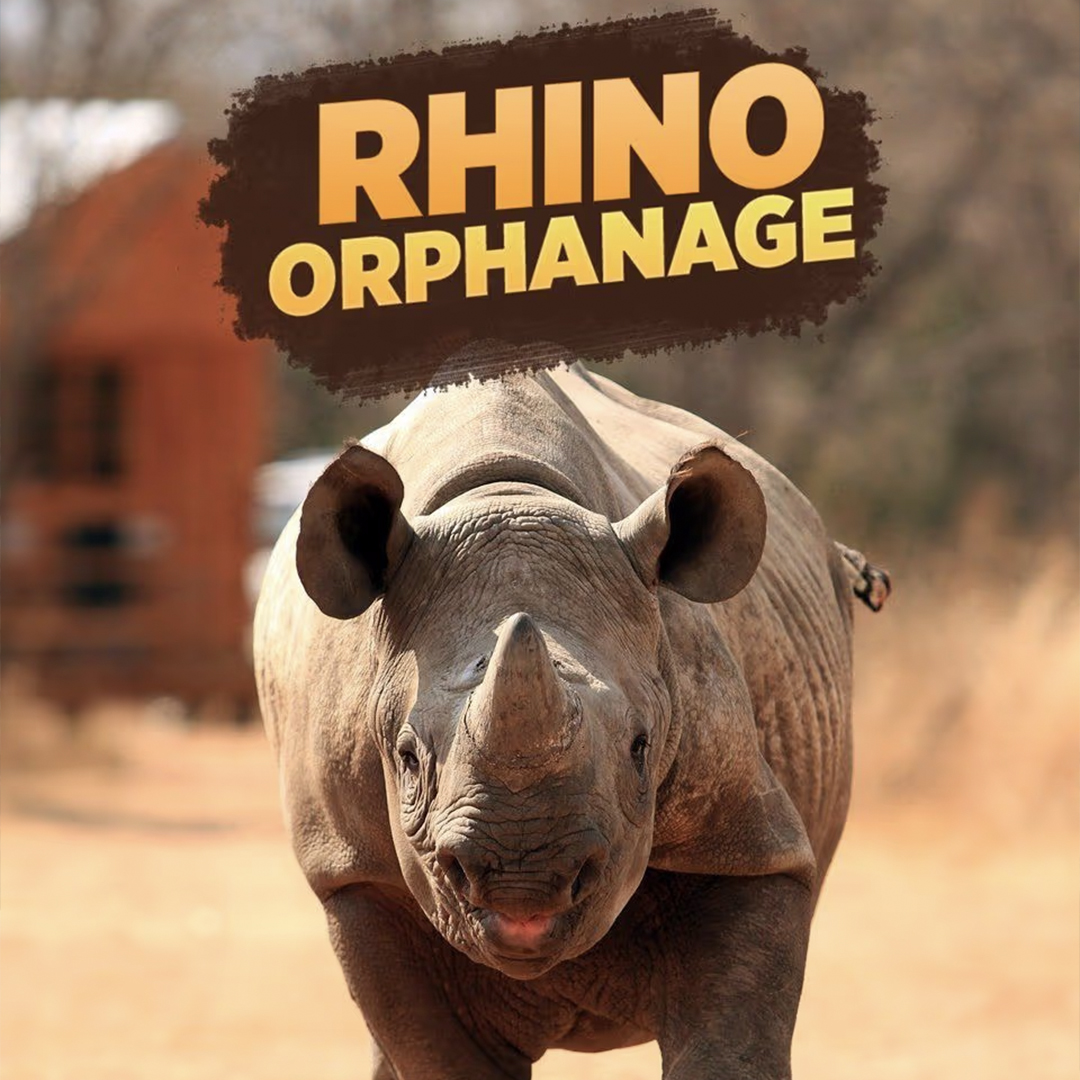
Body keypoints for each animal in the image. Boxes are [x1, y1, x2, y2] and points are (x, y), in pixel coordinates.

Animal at [254, 362, 886, 1079]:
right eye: (407, 758)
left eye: (642, 747)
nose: (524, 885)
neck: (506, 494)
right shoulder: (354, 874)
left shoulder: (750, 849)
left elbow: (732, 1044)